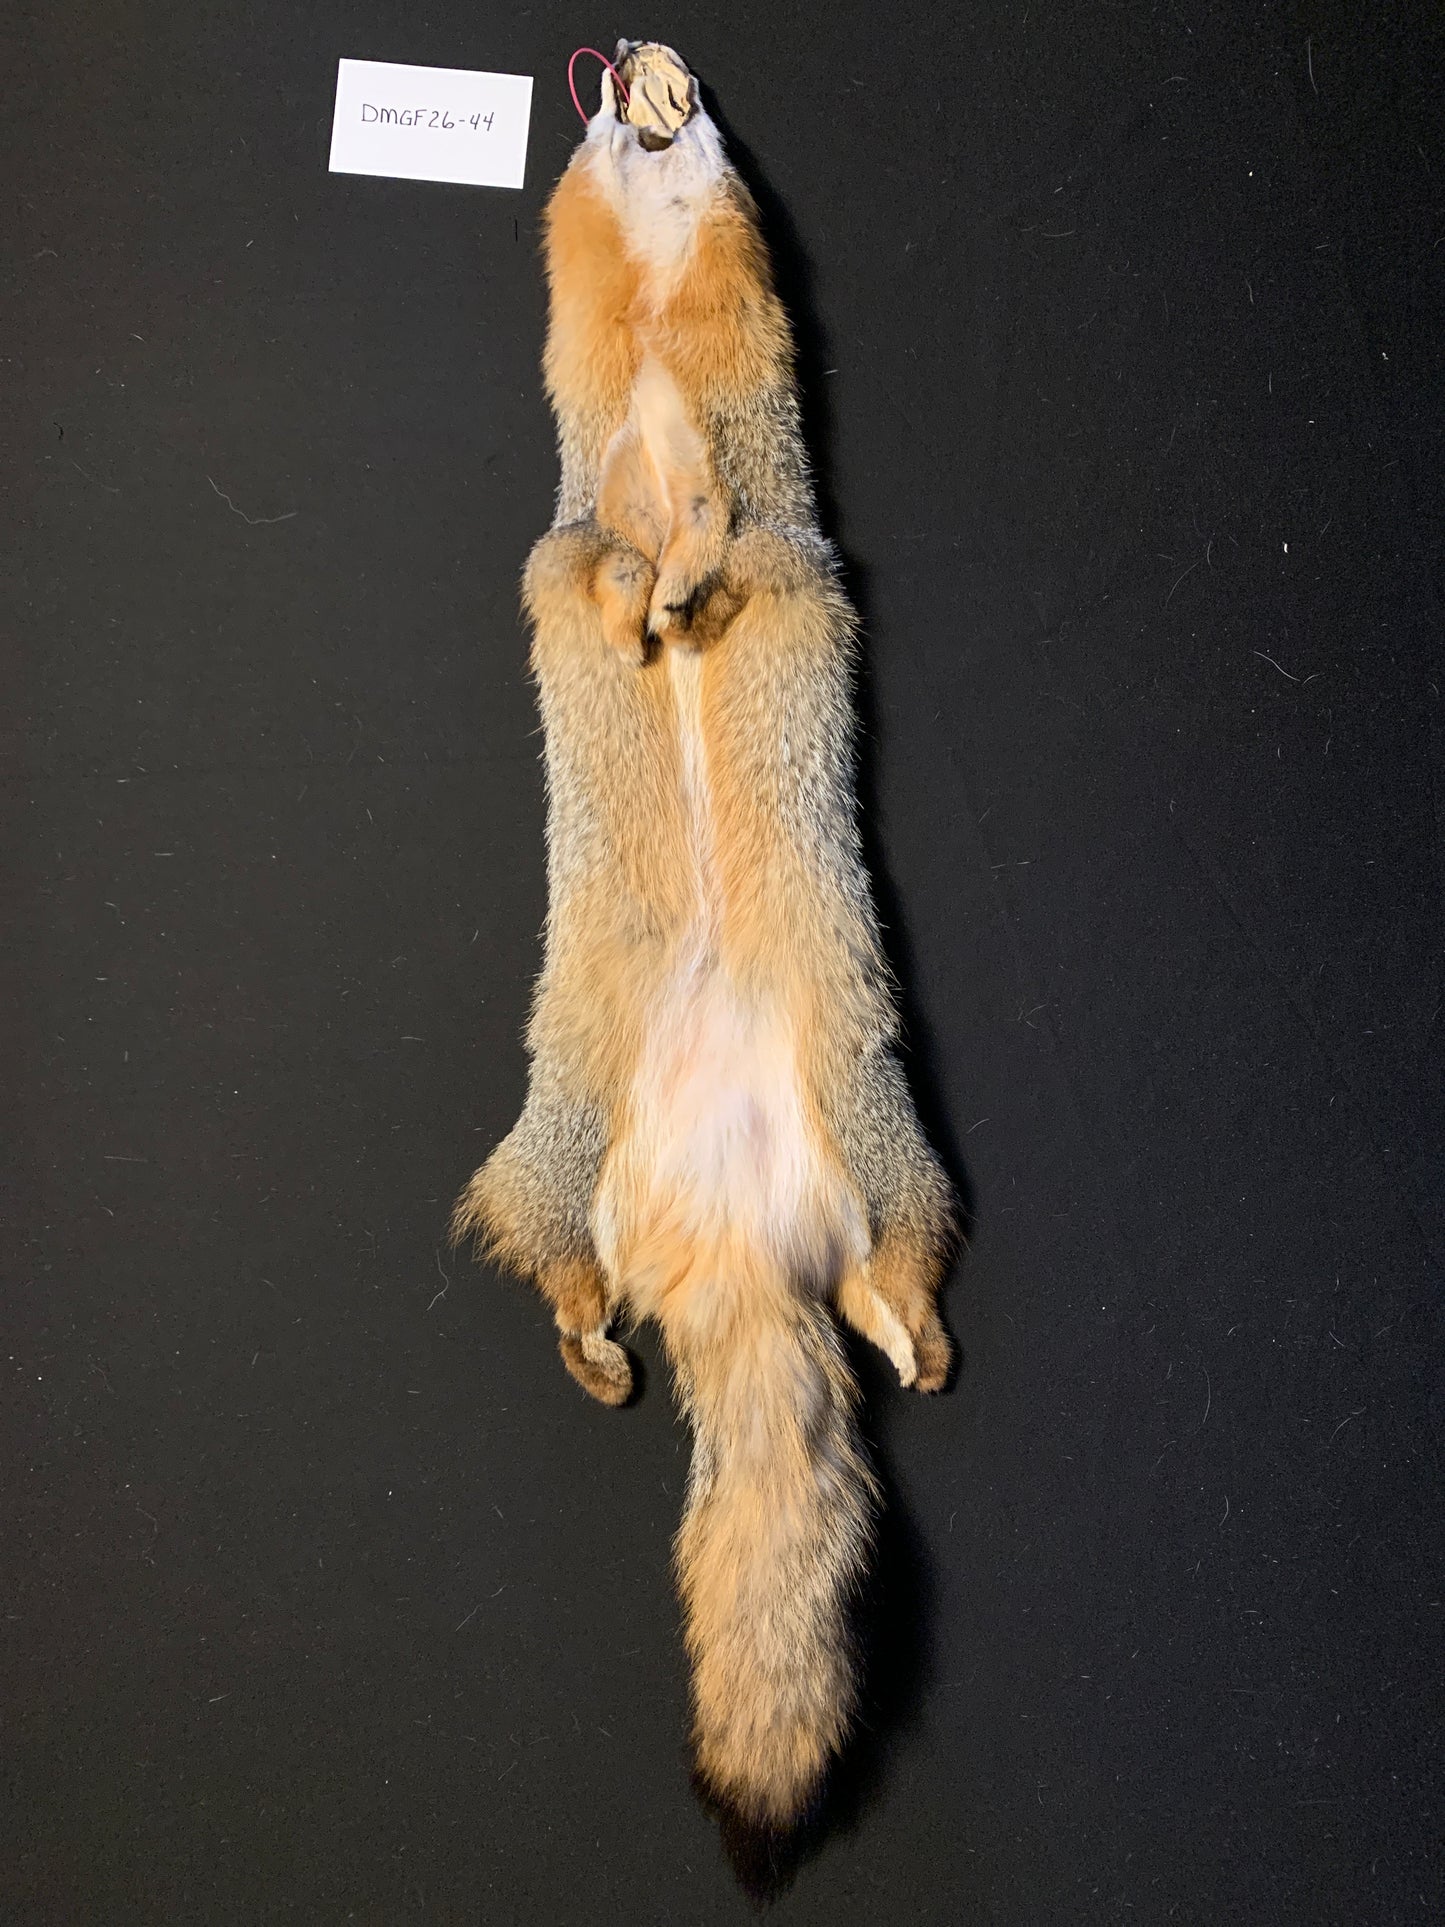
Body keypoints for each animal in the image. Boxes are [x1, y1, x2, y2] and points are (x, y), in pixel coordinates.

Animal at [452, 39, 954, 1870]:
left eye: (698, 102)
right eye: (607, 110)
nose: (632, 64)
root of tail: (733, 1229)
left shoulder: (767, 507)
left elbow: (733, 531)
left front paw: (691, 573)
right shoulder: (560, 536)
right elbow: (593, 556)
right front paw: (652, 586)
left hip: (887, 1165)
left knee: (894, 1291)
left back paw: (916, 1345)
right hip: (557, 1170)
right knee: (558, 1276)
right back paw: (596, 1353)